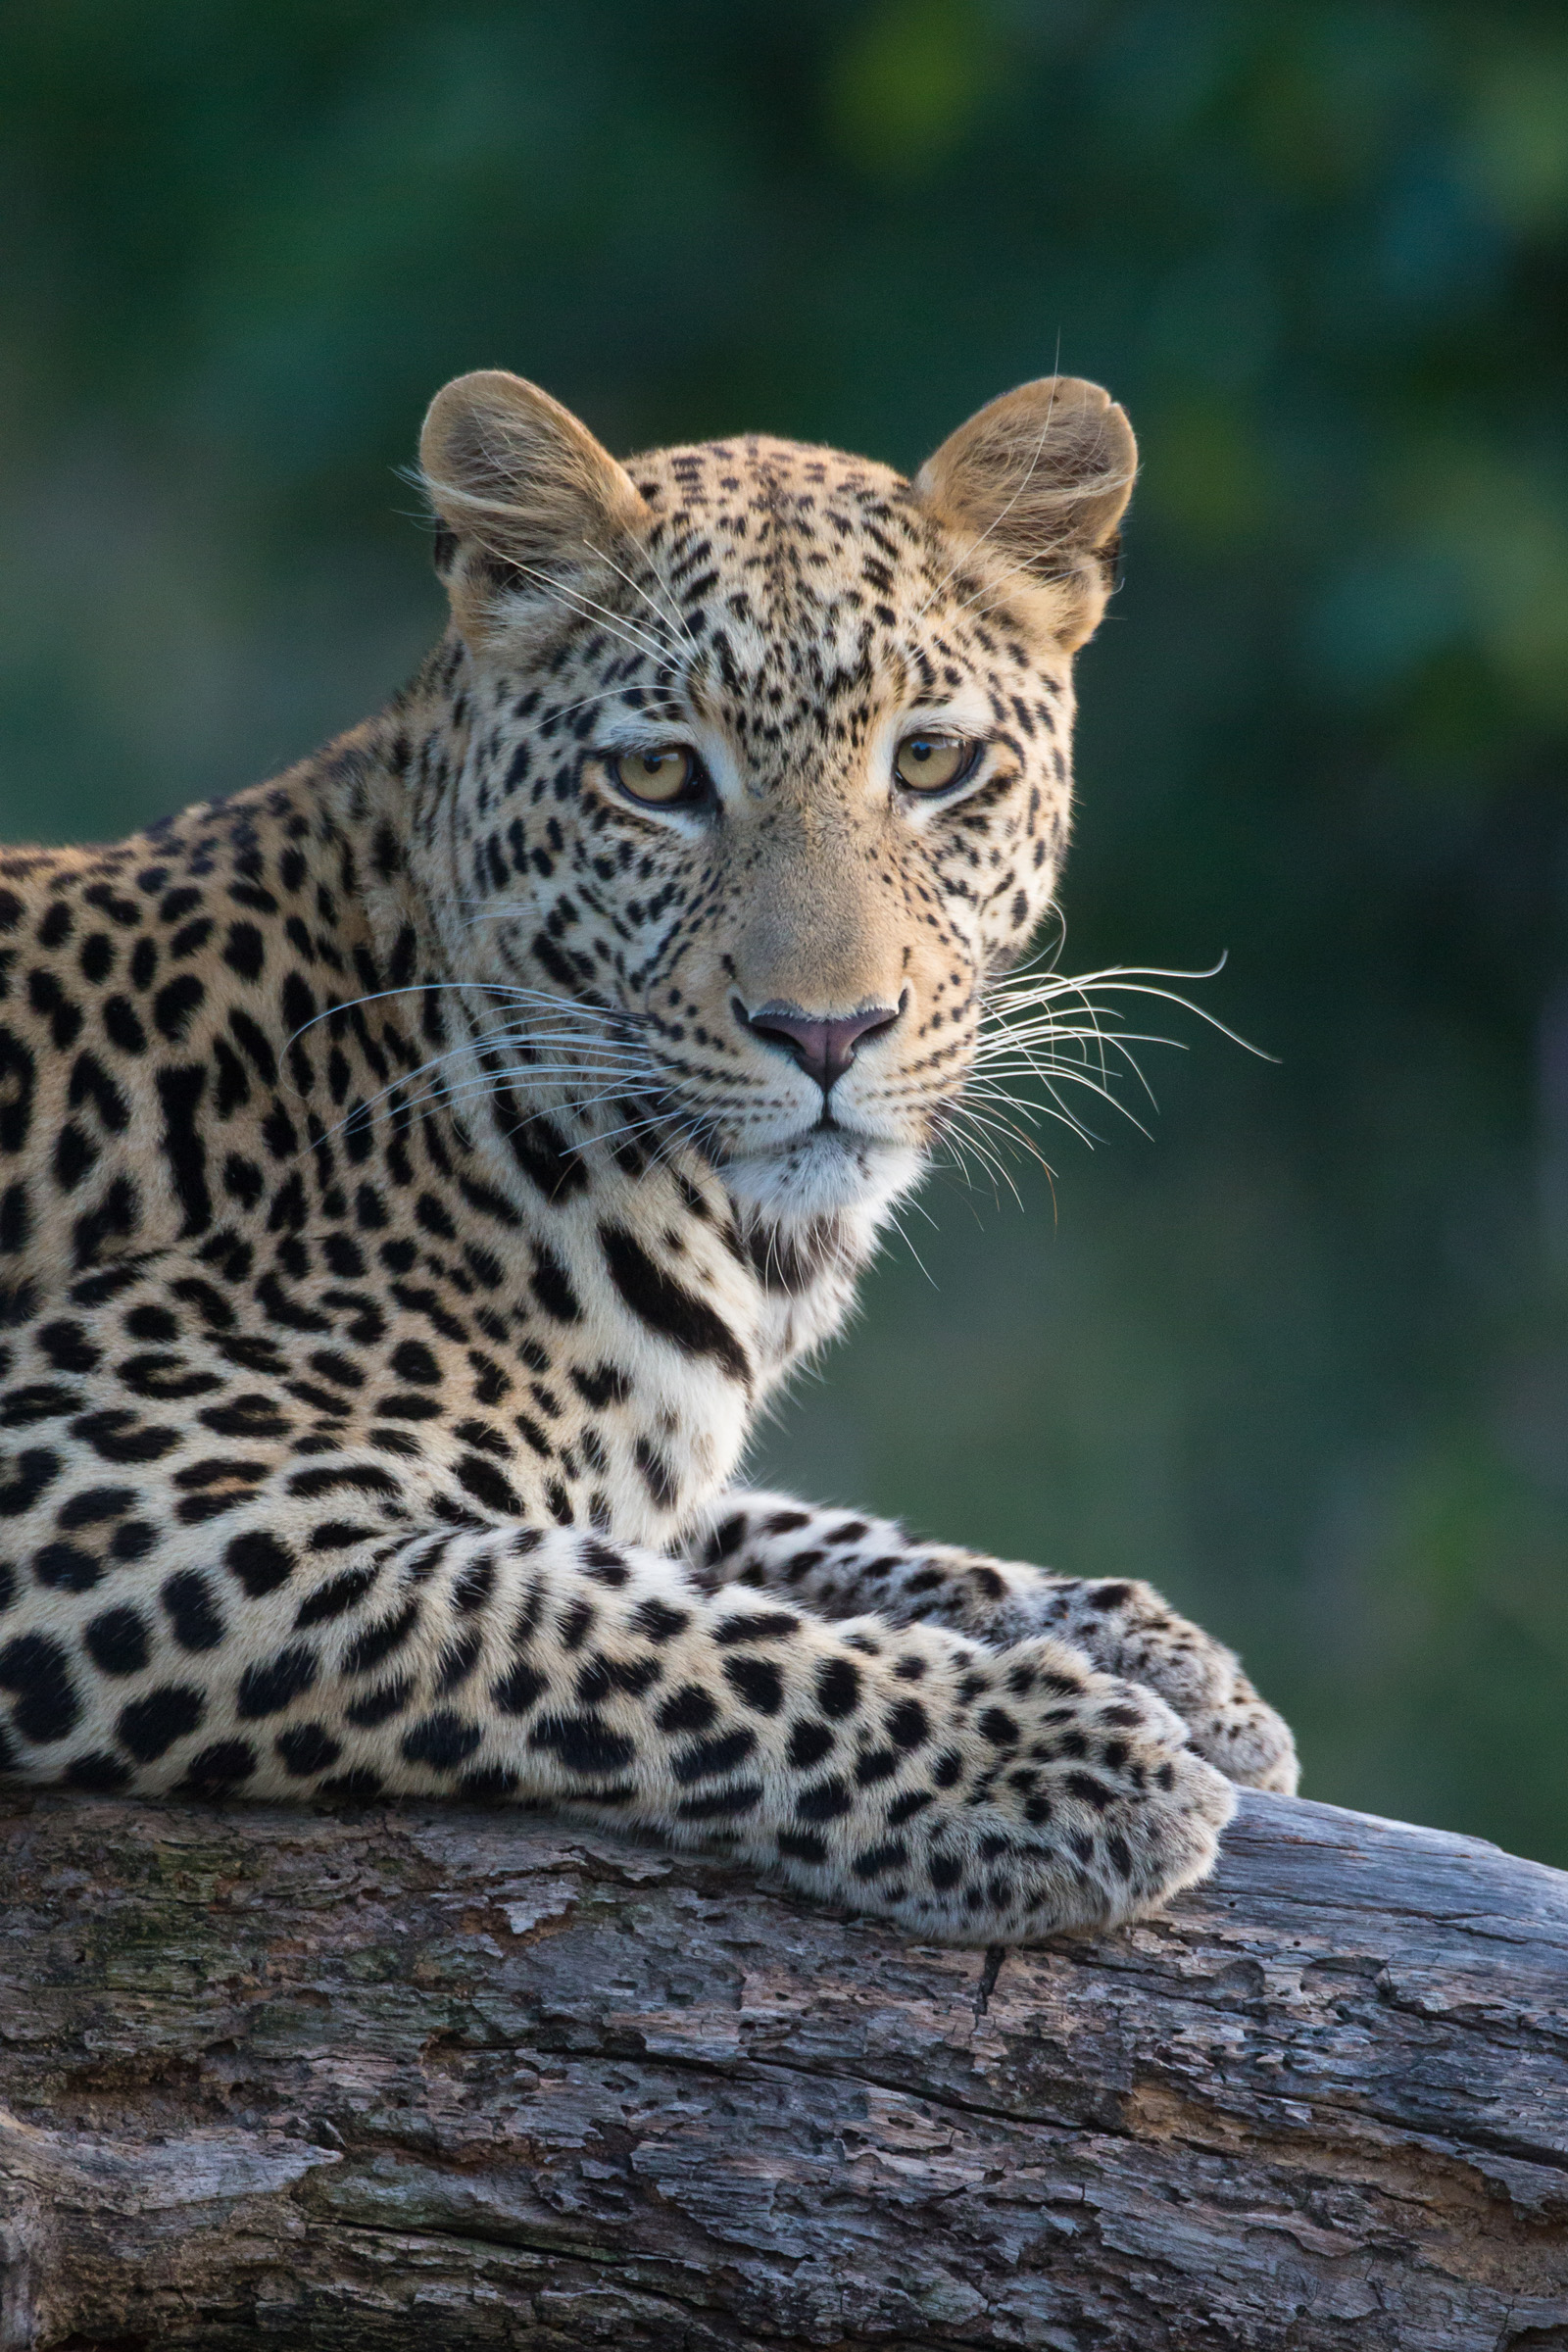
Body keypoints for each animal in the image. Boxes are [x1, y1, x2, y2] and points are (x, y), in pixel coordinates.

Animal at [0, 367, 1297, 1946]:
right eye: (661, 774)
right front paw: (1047, 1767)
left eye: (931, 760)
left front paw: (1154, 1655)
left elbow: (785, 1534)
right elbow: (616, 1622)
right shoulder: (89, 1490)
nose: (826, 1030)